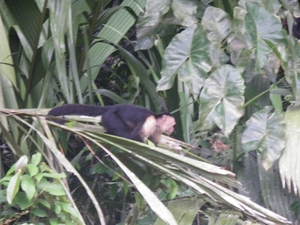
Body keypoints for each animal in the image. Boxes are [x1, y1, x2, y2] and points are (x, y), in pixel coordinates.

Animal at [47, 103, 176, 144]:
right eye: (173, 125)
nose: (173, 129)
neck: (157, 121)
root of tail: (113, 106)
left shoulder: (158, 130)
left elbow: (154, 143)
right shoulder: (150, 121)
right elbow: (136, 136)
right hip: (110, 116)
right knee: (123, 131)